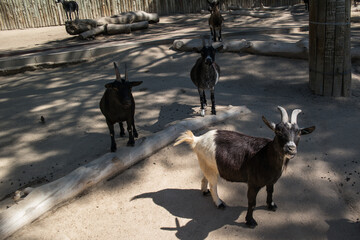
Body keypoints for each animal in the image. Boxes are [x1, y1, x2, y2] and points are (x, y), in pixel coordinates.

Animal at [174, 106, 316, 227]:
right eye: (278, 131)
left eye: (299, 133)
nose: (291, 148)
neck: (265, 154)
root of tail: (197, 140)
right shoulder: (253, 183)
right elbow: (252, 202)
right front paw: (250, 221)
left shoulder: (271, 181)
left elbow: (270, 191)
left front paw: (271, 205)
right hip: (210, 167)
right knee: (213, 185)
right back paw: (219, 203)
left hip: (209, 165)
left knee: (205, 178)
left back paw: (204, 191)